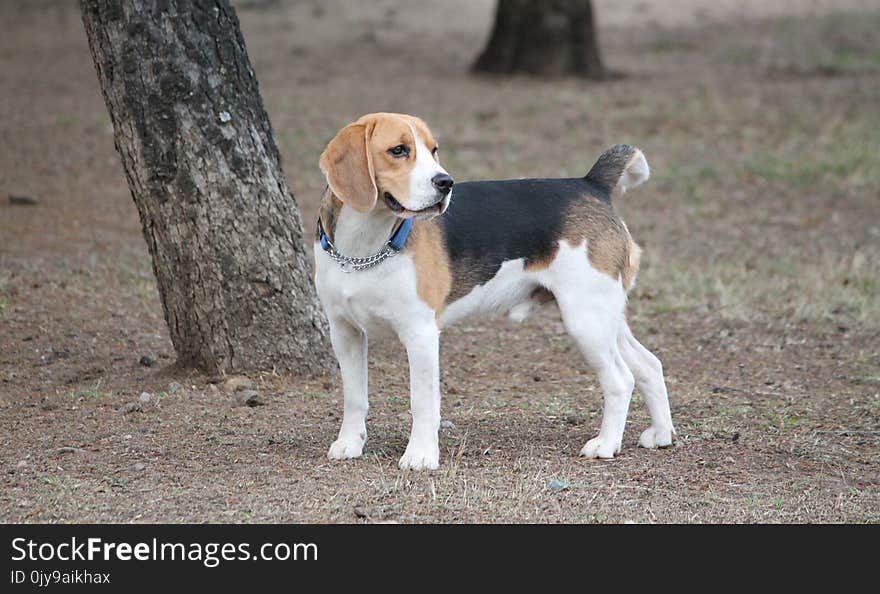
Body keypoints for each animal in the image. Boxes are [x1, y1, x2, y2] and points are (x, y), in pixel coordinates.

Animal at [316, 113, 672, 470]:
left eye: (433, 150)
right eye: (399, 150)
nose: (445, 182)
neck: (363, 248)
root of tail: (591, 184)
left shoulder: (420, 333)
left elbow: (423, 401)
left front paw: (420, 455)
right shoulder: (344, 332)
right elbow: (354, 396)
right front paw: (350, 443)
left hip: (586, 319)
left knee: (621, 379)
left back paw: (606, 444)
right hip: (605, 316)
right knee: (649, 365)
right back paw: (661, 434)